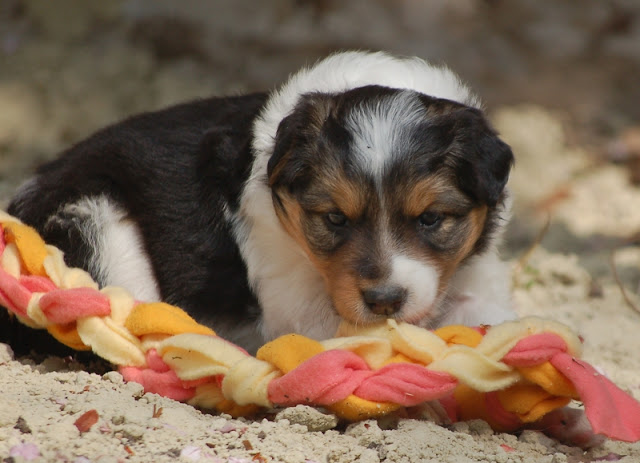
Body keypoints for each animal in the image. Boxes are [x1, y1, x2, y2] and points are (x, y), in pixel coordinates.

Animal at [8, 50, 516, 354]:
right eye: (335, 218)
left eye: (431, 219)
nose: (384, 300)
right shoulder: (295, 302)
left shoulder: (477, 274)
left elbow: (485, 310)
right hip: (99, 228)